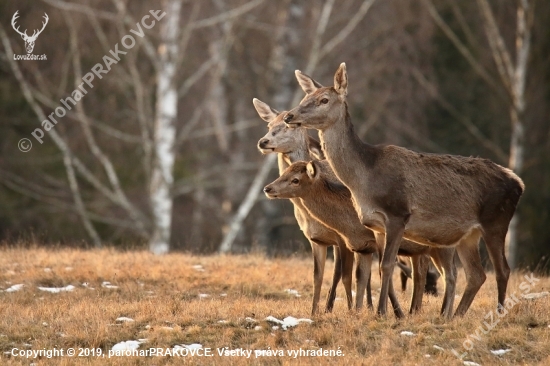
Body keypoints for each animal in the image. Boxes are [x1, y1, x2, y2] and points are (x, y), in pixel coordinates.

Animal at [253, 98, 370, 314]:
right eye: (269, 125)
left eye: (290, 125)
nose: (263, 142)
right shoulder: (316, 239)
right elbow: (318, 276)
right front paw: (315, 311)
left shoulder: (342, 237)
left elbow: (343, 275)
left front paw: (346, 309)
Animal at [266, 160, 460, 318]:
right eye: (283, 173)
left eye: (295, 180)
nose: (268, 188)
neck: (350, 225)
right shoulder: (361, 246)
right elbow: (360, 277)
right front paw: (357, 312)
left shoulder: (373, 240)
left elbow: (379, 274)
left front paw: (393, 313)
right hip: (424, 250)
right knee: (426, 275)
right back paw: (422, 311)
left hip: (445, 246)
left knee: (452, 274)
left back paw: (446, 314)